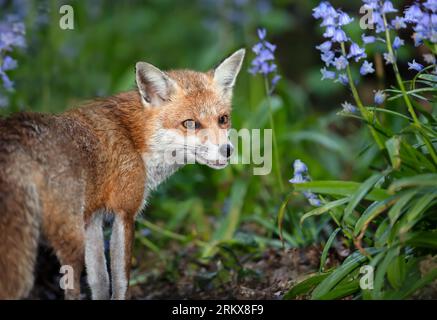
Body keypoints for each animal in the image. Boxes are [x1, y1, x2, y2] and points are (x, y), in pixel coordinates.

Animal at [0, 48, 245, 298]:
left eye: (223, 119)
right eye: (190, 123)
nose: (228, 151)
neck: (134, 137)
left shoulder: (92, 218)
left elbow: (99, 279)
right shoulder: (124, 212)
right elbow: (120, 279)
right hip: (70, 237)